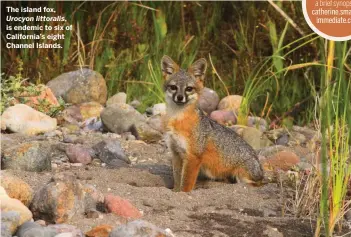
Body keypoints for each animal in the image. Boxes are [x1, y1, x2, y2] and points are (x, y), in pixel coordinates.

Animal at [162, 54, 264, 192]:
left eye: (189, 89)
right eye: (173, 87)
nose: (179, 97)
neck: (177, 118)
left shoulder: (193, 156)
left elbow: (186, 184)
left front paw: (183, 193)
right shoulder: (176, 153)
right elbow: (178, 181)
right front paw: (175, 192)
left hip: (242, 176)